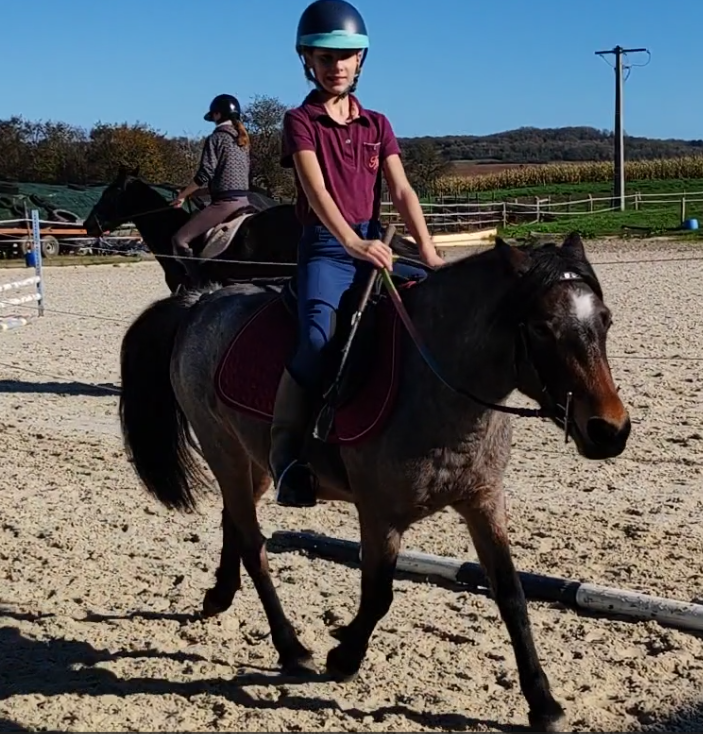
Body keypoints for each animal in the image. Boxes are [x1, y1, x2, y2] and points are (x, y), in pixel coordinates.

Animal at [118, 231, 631, 731]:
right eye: (541, 327)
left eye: (605, 320)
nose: (610, 430)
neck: (436, 385)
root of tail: (200, 302)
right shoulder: (380, 514)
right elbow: (379, 594)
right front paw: (344, 656)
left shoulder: (484, 501)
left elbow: (511, 594)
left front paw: (543, 702)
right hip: (222, 449)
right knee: (252, 544)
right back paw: (290, 647)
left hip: (254, 463)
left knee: (234, 523)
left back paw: (220, 597)